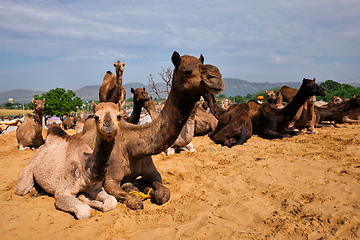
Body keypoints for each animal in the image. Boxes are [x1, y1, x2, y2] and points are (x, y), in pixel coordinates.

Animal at [102, 51, 225, 210]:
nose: (216, 76)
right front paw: (134, 193)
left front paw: (151, 191)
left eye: (201, 63)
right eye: (186, 71)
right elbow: (135, 201)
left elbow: (163, 193)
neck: (132, 146)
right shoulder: (110, 180)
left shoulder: (152, 170)